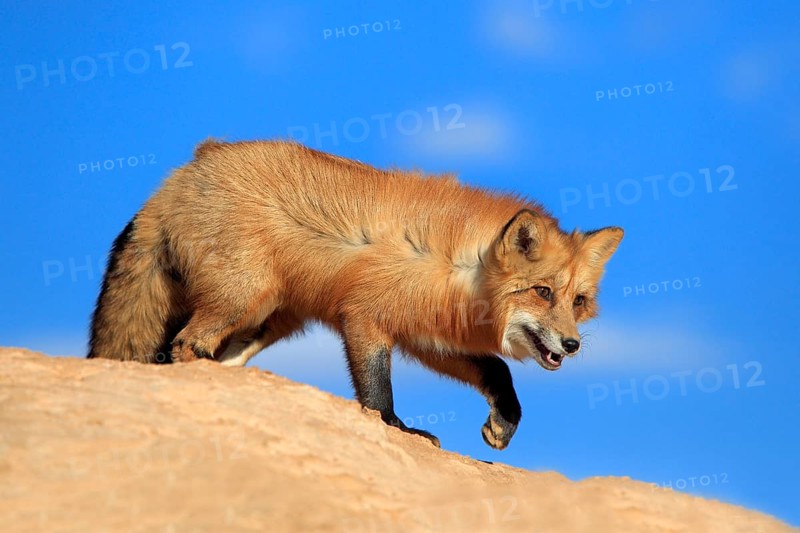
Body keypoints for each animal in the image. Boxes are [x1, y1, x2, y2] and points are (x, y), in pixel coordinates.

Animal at [88, 139, 623, 450]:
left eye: (577, 302)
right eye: (542, 291)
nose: (573, 345)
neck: (457, 267)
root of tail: (186, 169)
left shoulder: (426, 337)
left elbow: (497, 371)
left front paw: (503, 423)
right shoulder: (365, 319)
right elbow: (376, 391)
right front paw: (396, 428)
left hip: (266, 321)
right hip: (242, 296)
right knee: (184, 345)